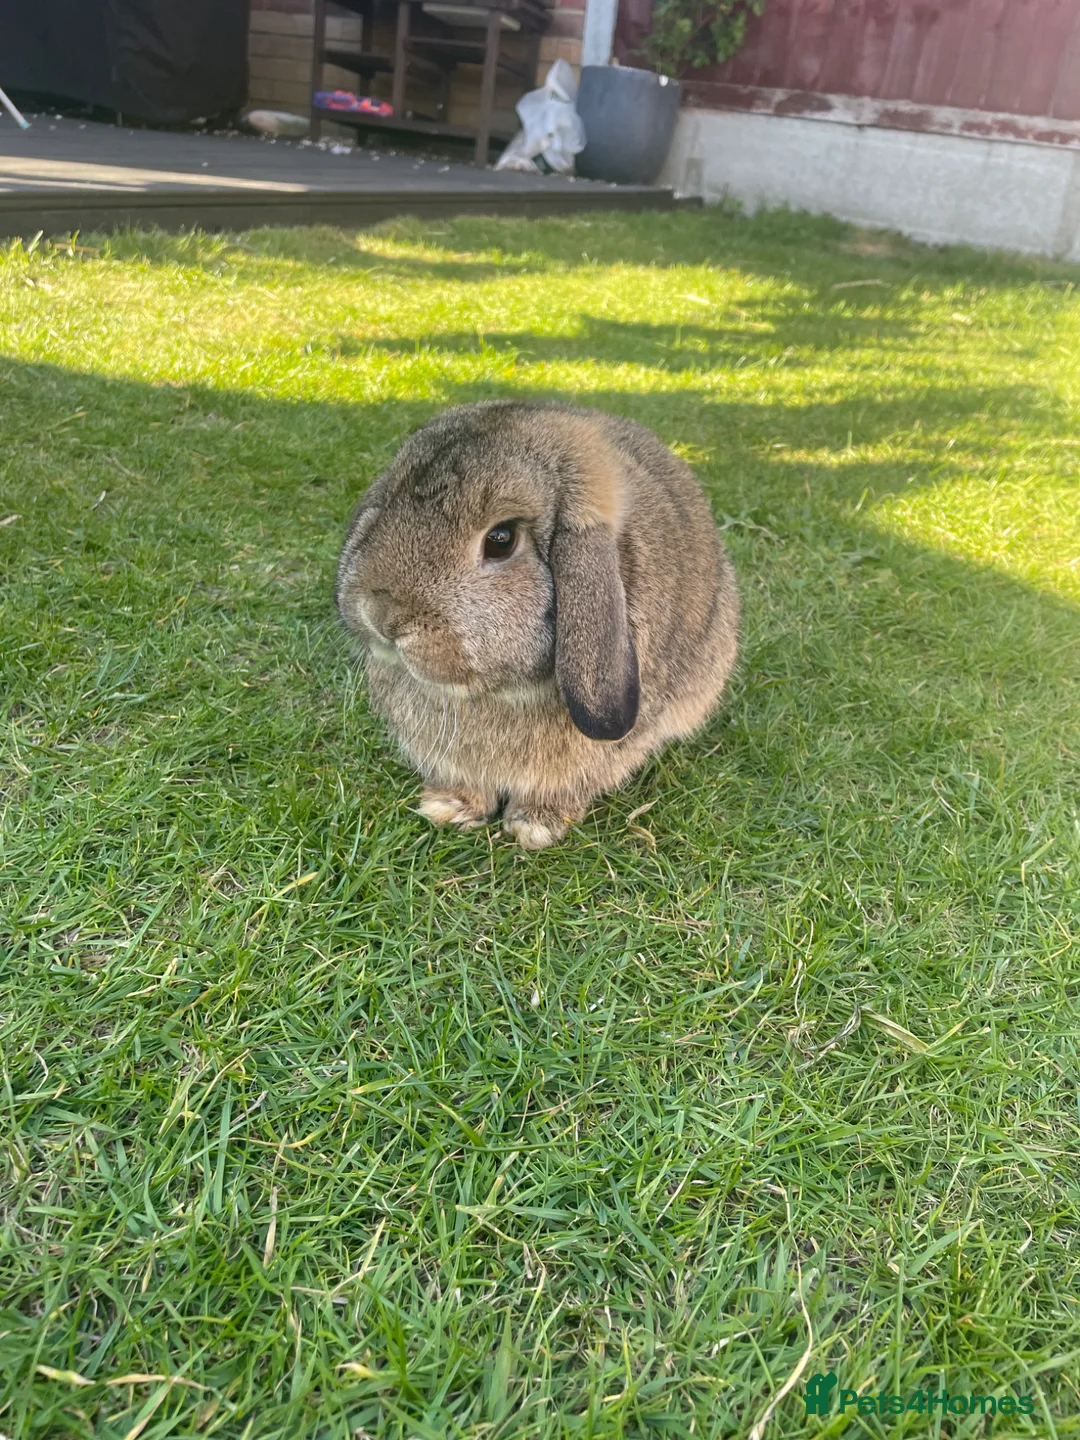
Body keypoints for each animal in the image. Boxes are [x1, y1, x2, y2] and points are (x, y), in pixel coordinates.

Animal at [335, 402, 739, 849]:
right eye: (387, 501)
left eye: (501, 539)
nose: (381, 615)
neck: (496, 695)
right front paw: (450, 807)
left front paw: (535, 825)